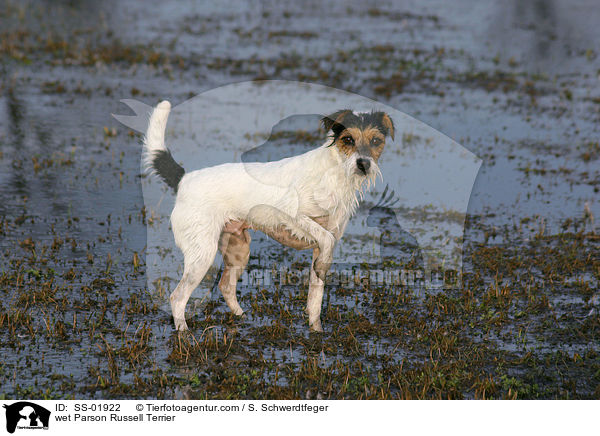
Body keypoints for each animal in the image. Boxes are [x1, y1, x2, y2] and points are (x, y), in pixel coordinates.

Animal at [145, 100, 394, 332]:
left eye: (375, 141)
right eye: (348, 139)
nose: (363, 164)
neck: (335, 172)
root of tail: (184, 179)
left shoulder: (322, 241)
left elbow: (316, 293)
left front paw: (316, 329)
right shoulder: (293, 215)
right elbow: (326, 239)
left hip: (238, 250)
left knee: (226, 286)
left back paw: (243, 318)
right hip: (202, 255)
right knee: (177, 297)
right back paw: (184, 332)